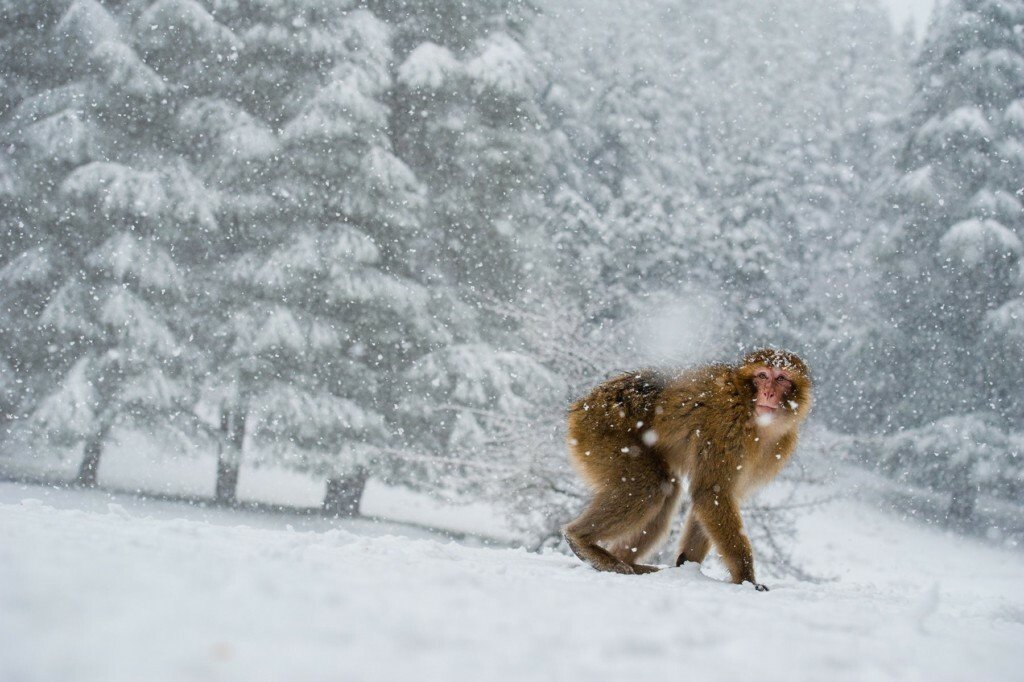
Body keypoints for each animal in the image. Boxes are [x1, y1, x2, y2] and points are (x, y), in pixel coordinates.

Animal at [562, 348, 812, 591]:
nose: (768, 393)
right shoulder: (725, 425)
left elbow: (714, 497)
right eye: (762, 376)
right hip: (602, 434)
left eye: (781, 378)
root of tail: (580, 405)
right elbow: (711, 493)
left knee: (666, 488)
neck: (753, 416)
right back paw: (581, 541)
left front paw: (686, 564)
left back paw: (627, 561)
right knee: (648, 486)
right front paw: (746, 579)